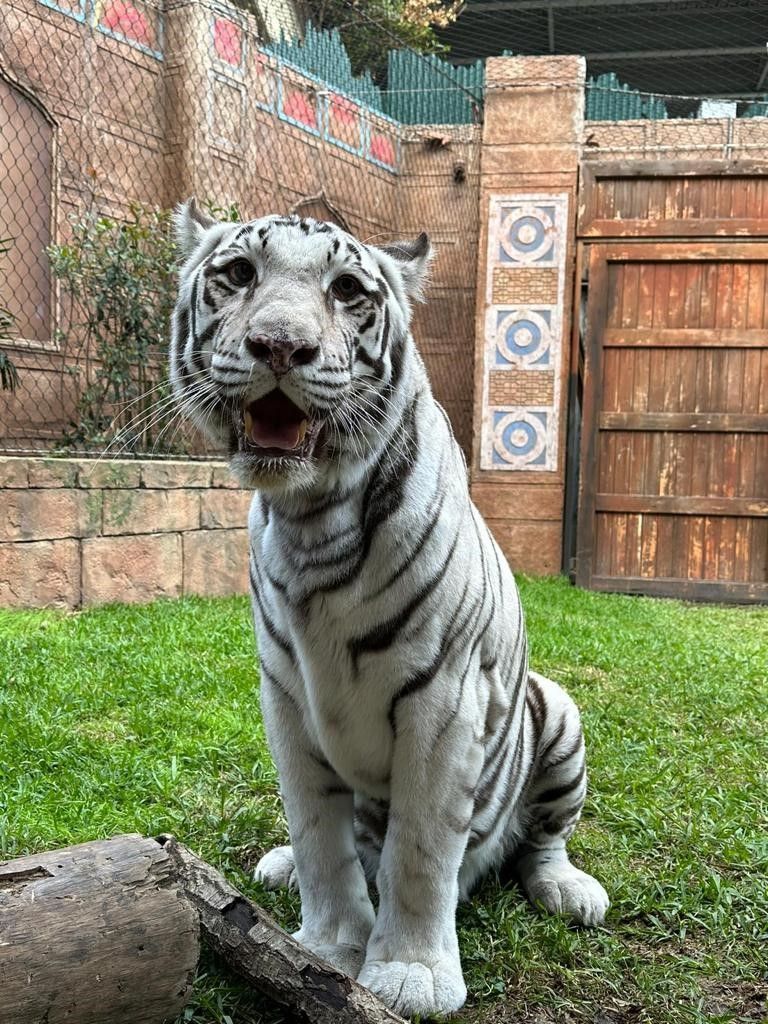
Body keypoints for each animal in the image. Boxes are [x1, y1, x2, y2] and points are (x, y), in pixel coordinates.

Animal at [170, 200, 609, 1018]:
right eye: (239, 273)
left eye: (346, 290)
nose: (281, 346)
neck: (312, 519)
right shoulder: (286, 699)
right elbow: (319, 834)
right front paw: (326, 946)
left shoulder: (446, 702)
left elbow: (419, 850)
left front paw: (409, 974)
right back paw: (278, 863)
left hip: (558, 715)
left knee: (541, 842)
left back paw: (570, 891)